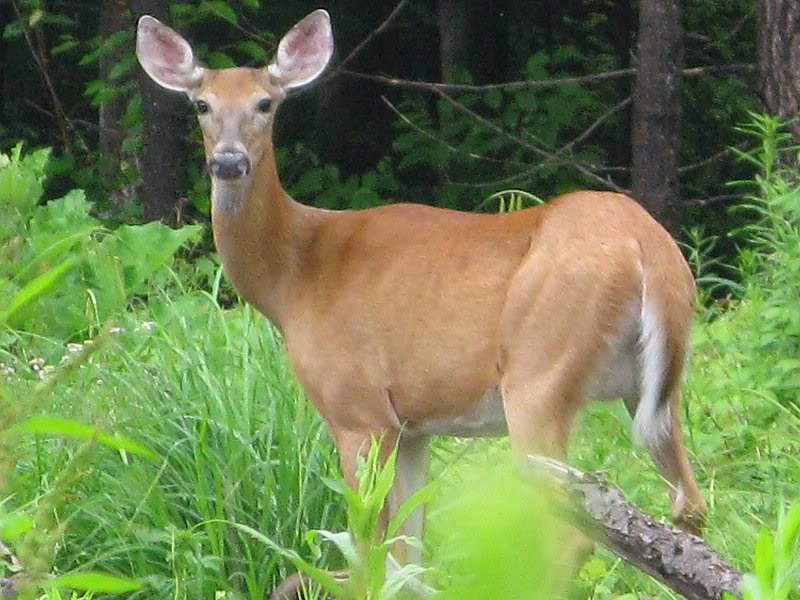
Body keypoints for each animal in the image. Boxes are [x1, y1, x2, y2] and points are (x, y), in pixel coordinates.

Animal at [136, 8, 707, 594]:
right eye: (202, 104)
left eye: (265, 104)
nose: (228, 162)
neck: (294, 278)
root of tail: (648, 246)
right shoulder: (413, 426)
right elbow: (408, 552)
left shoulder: (358, 408)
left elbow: (368, 547)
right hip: (653, 391)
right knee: (688, 510)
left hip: (539, 371)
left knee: (569, 536)